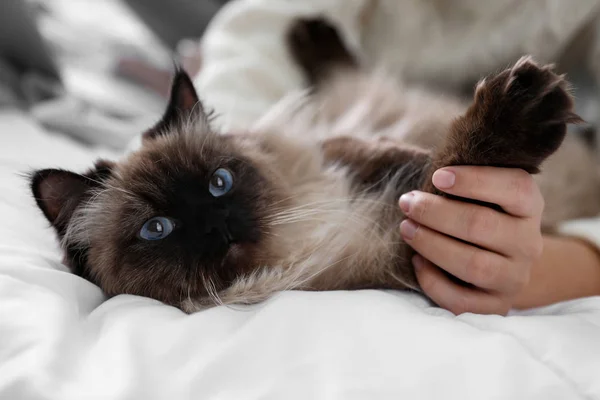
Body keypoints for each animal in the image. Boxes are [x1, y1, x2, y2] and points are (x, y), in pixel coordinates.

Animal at [30, 17, 600, 312]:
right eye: (158, 229)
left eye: (219, 183)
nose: (216, 224)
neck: (296, 242)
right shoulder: (396, 255)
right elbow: (450, 167)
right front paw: (514, 115)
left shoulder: (324, 148)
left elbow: (383, 155)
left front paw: (416, 157)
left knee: (348, 72)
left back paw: (308, 30)